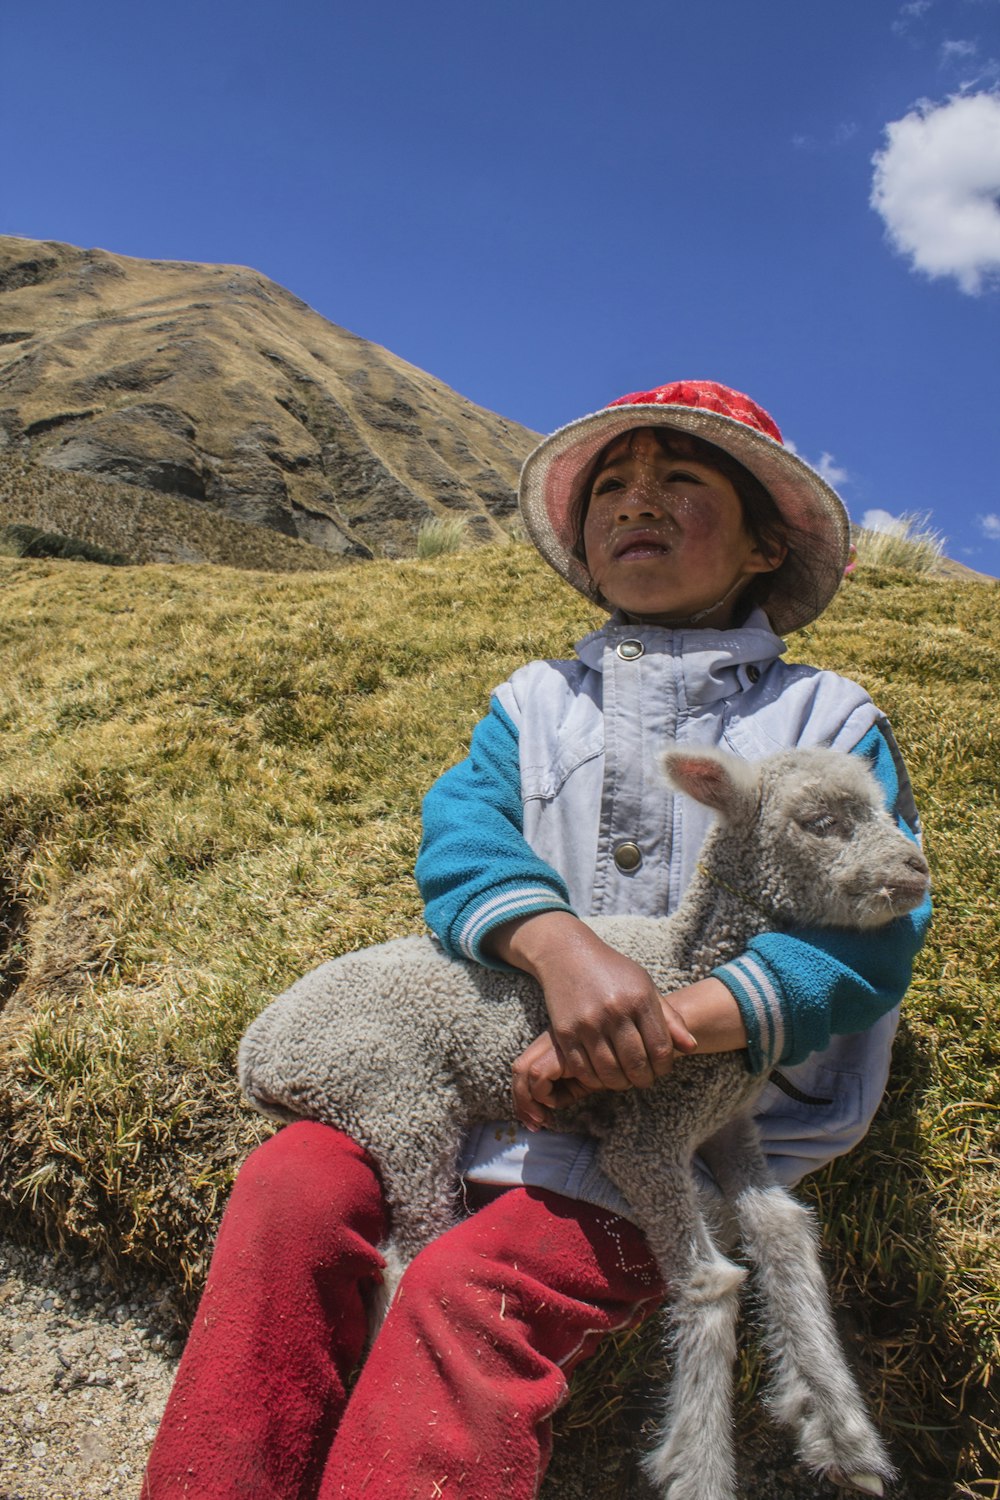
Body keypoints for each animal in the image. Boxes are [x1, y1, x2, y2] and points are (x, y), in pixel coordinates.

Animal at [239, 750, 929, 1500]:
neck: (690, 963)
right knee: (408, 1252)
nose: (917, 869)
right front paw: (696, 1465)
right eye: (820, 822)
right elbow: (710, 1283)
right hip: (395, 1097)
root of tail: (257, 1055)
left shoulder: (727, 1124)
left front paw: (840, 1430)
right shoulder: (646, 1138)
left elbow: (784, 1233)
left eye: (883, 805)